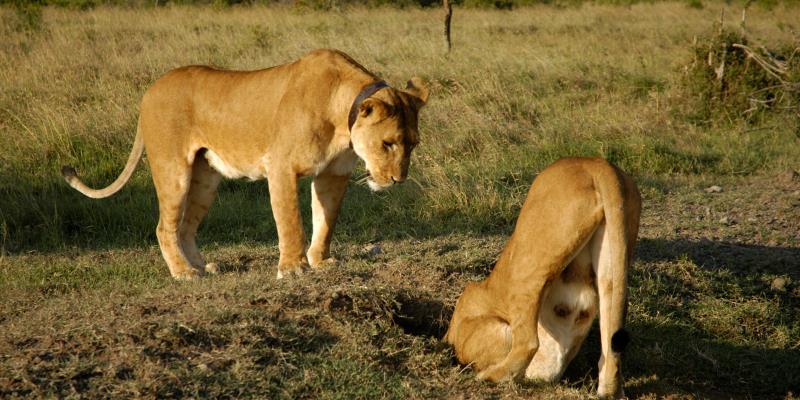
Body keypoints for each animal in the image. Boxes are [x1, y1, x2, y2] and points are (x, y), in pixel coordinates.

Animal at [61, 49, 428, 280]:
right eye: (387, 143)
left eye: (412, 144)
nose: (397, 180)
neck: (341, 115)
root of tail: (150, 90)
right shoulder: (281, 166)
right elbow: (291, 222)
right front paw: (293, 268)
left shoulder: (333, 174)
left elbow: (325, 222)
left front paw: (321, 262)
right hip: (173, 170)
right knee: (164, 227)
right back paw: (184, 273)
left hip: (205, 180)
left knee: (185, 227)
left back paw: (204, 267)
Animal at [445, 157, 641, 399]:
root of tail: (596, 163)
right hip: (613, 258)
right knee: (610, 345)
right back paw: (609, 391)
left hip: (531, 260)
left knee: (528, 341)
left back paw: (491, 377)